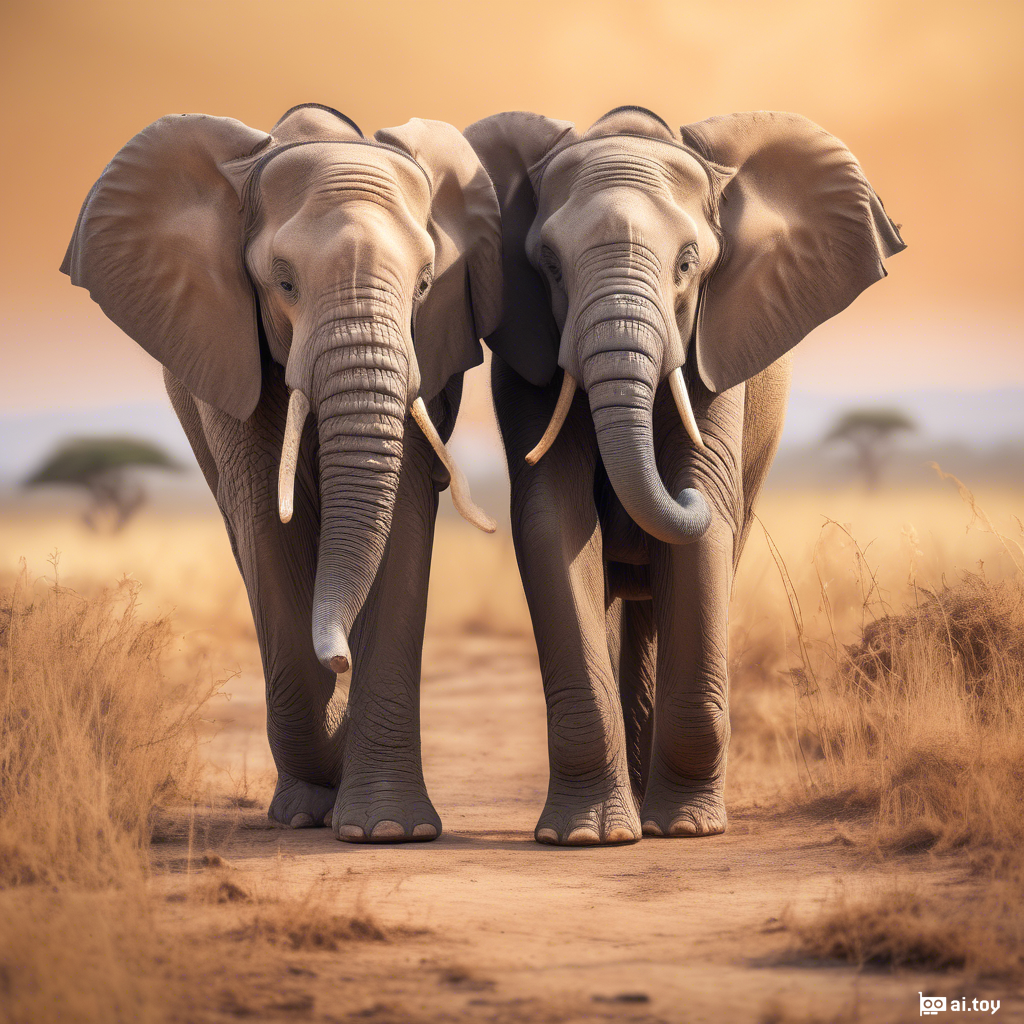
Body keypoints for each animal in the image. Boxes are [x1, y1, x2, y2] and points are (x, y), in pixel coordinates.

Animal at [62, 103, 503, 842]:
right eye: (285, 282)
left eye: (423, 284)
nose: (340, 657)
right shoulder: (227, 345)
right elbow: (266, 523)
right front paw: (327, 799)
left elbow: (406, 517)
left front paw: (388, 831)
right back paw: (301, 807)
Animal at [465, 106, 904, 846]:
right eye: (548, 265)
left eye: (689, 263)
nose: (682, 492)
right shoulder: (526, 362)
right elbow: (554, 520)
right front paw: (586, 836)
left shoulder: (716, 347)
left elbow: (704, 531)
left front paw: (691, 829)